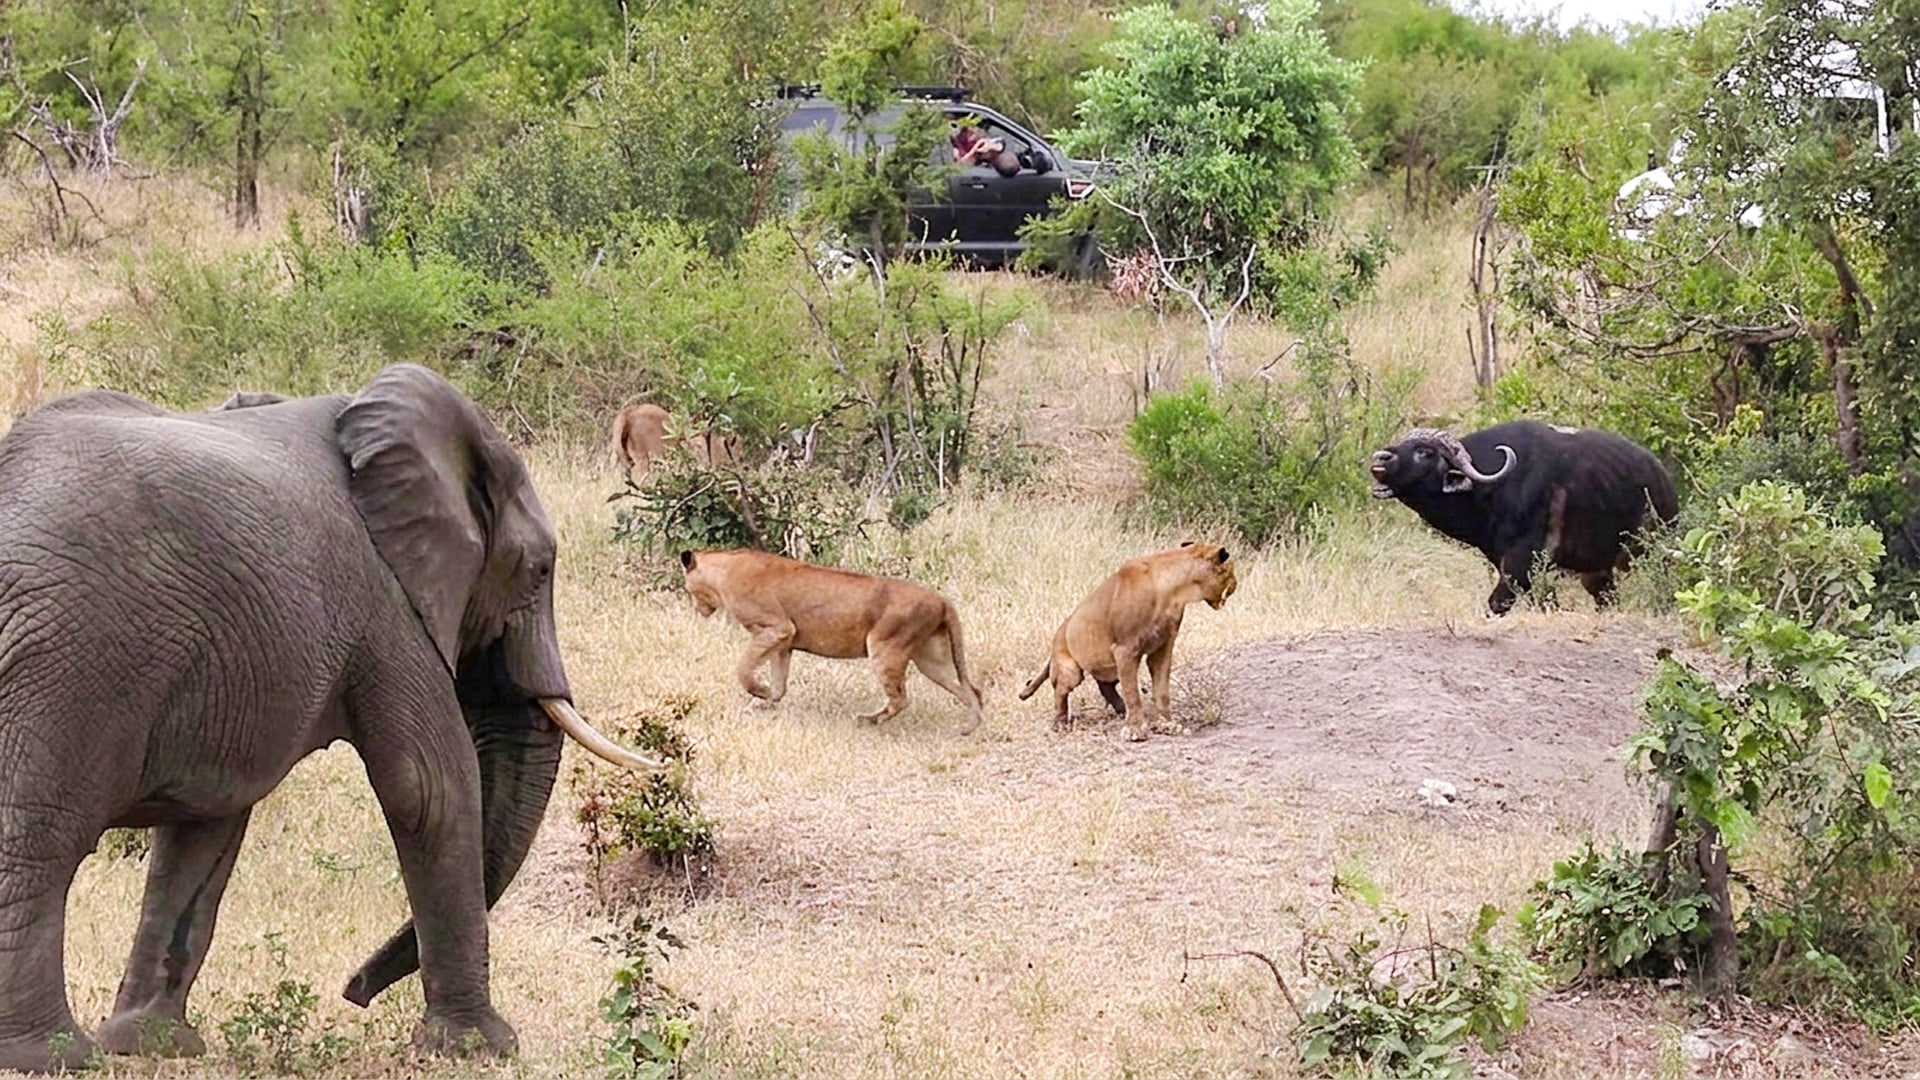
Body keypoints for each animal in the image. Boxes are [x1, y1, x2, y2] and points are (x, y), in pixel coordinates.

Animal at [0, 364, 661, 1072]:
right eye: (538, 569)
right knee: (40, 838)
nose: (353, 990)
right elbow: (430, 790)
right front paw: (478, 1049)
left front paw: (154, 1046)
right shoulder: (387, 598)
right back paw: (50, 1056)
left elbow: (207, 821)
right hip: (72, 661)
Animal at [680, 548, 984, 733]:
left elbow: (743, 669)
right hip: (930, 660)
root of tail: (941, 600)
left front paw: (760, 692)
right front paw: (764, 703)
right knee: (972, 689)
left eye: (688, 589)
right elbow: (780, 684)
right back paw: (969, 727)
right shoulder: (785, 642)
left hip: (885, 649)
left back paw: (868, 720)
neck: (723, 569)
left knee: (901, 699)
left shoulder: (775, 629)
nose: (695, 608)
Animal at [1018, 542, 1236, 740]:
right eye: (1231, 571)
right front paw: (1136, 730)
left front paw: (1166, 724)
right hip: (1072, 670)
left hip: (1109, 666)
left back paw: (1121, 711)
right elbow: (1133, 693)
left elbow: (1162, 690)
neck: (1176, 590)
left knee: (1105, 686)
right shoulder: (1125, 649)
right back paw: (1060, 723)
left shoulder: (1162, 647)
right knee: (1060, 693)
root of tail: (1059, 633)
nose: (1236, 584)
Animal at [1369, 421, 1679, 615]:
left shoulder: (1521, 562)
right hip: (1598, 572)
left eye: (1425, 452)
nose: (1380, 460)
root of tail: (1665, 483)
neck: (1493, 489)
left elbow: (1498, 603)